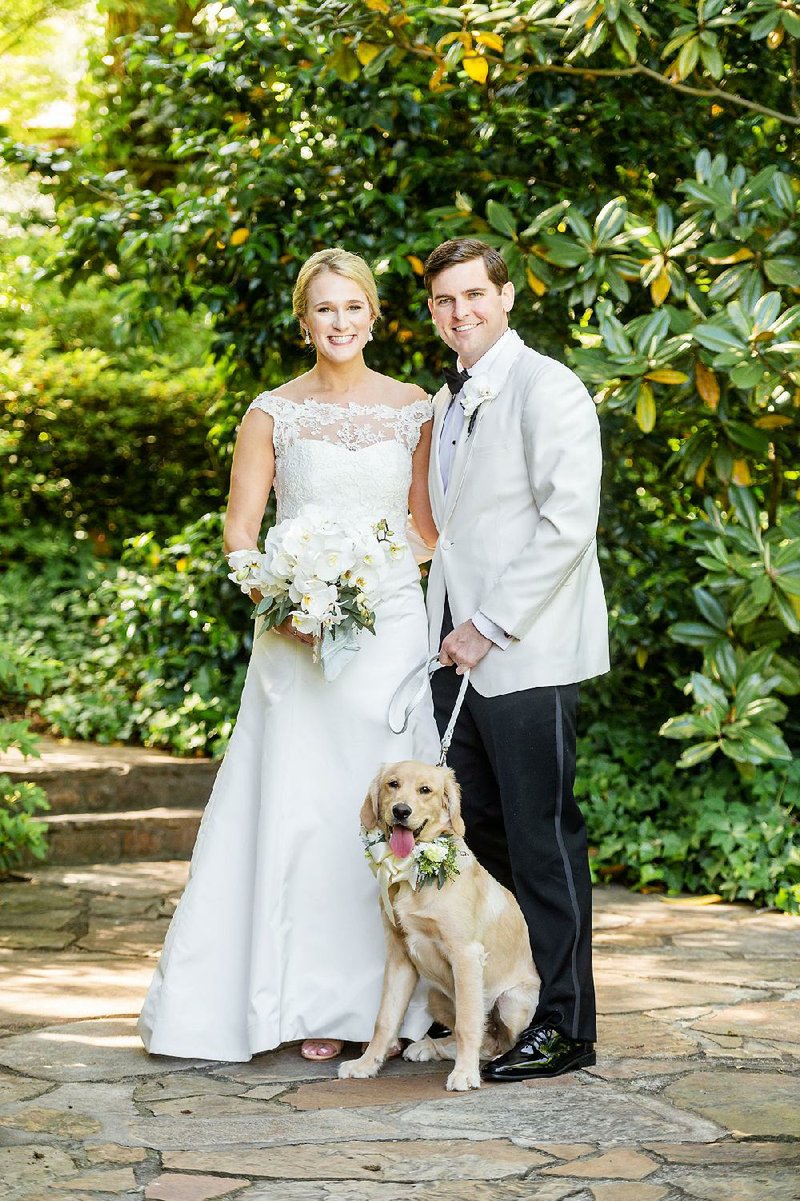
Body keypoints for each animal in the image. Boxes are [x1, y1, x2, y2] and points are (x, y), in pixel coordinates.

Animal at [336, 763, 535, 1095]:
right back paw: (428, 1047)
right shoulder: (399, 956)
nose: (401, 811)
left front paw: (465, 1074)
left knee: (496, 1042)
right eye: (393, 784)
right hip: (436, 996)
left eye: (425, 790)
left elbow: (468, 1024)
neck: (414, 871)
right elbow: (384, 1019)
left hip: (511, 1001)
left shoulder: (466, 955)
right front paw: (366, 1065)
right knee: (481, 1038)